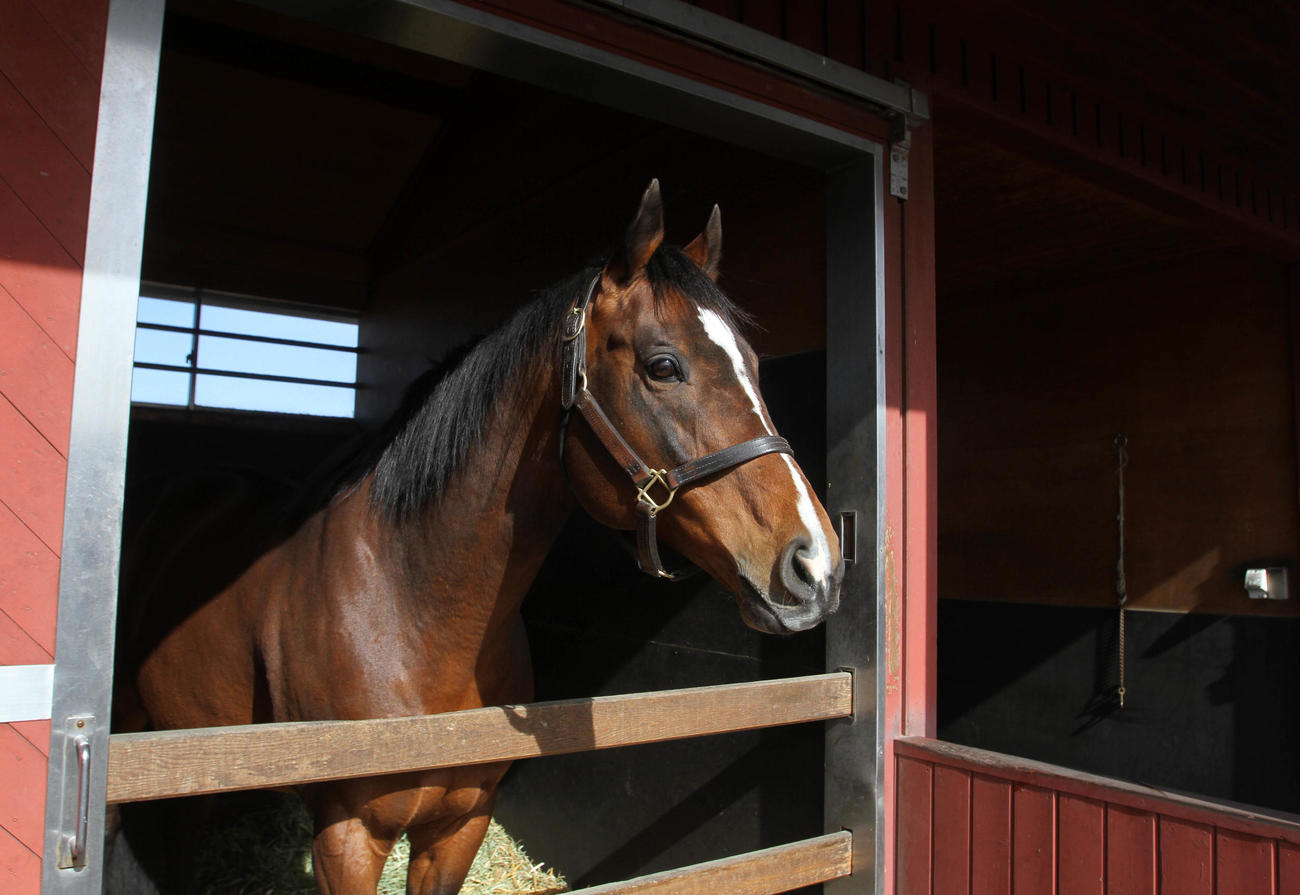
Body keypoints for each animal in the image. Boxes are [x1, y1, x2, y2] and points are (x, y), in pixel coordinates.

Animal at [126, 180, 844, 894]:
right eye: (663, 365)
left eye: (754, 364)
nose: (816, 565)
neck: (410, 614)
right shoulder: (346, 838)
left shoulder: (461, 823)